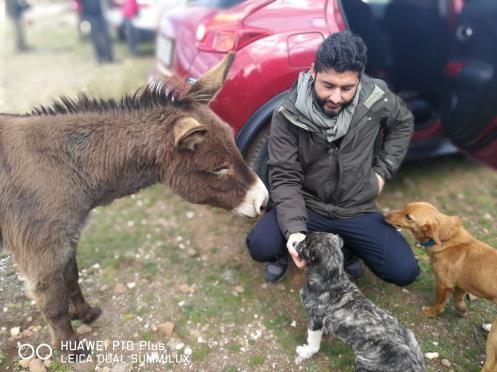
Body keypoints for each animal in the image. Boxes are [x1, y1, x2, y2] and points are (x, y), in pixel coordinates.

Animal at [294, 231, 426, 370]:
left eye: (304, 244)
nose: (294, 242)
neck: (332, 280)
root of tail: (416, 364)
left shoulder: (314, 319)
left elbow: (313, 343)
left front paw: (305, 352)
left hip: (364, 362)